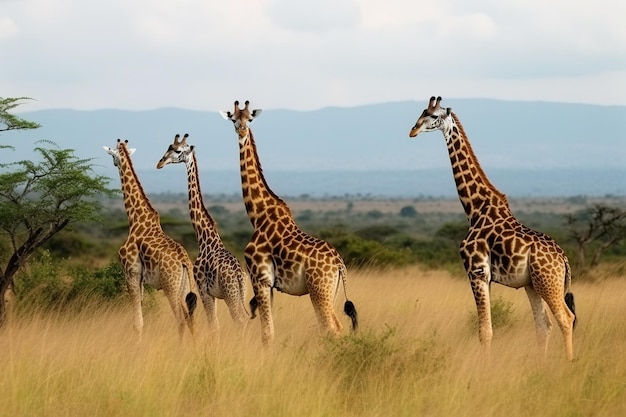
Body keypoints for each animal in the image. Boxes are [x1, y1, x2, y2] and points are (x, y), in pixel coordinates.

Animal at [102, 138, 197, 340]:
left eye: (113, 155)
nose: (114, 163)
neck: (135, 218)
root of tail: (185, 262)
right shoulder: (140, 280)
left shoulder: (131, 272)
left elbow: (137, 322)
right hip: (185, 288)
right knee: (191, 320)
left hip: (171, 287)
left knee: (181, 320)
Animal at [156, 133, 249, 332]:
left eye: (177, 150)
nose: (160, 163)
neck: (205, 239)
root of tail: (239, 275)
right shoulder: (211, 293)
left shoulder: (203, 289)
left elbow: (213, 325)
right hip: (241, 292)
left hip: (230, 294)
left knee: (240, 320)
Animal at [218, 101, 356, 344]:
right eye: (234, 119)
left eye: (249, 119)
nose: (241, 131)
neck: (258, 216)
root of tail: (339, 264)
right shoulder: (268, 284)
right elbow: (269, 329)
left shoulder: (260, 278)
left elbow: (267, 333)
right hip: (332, 291)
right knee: (335, 326)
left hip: (319, 290)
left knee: (331, 328)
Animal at [404, 96, 576, 360]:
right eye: (421, 112)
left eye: (433, 116)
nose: (413, 131)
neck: (474, 209)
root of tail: (564, 260)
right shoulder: (487, 277)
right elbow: (488, 328)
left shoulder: (476, 272)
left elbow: (484, 332)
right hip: (533, 284)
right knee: (544, 326)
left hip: (548, 283)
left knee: (566, 318)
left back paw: (568, 363)